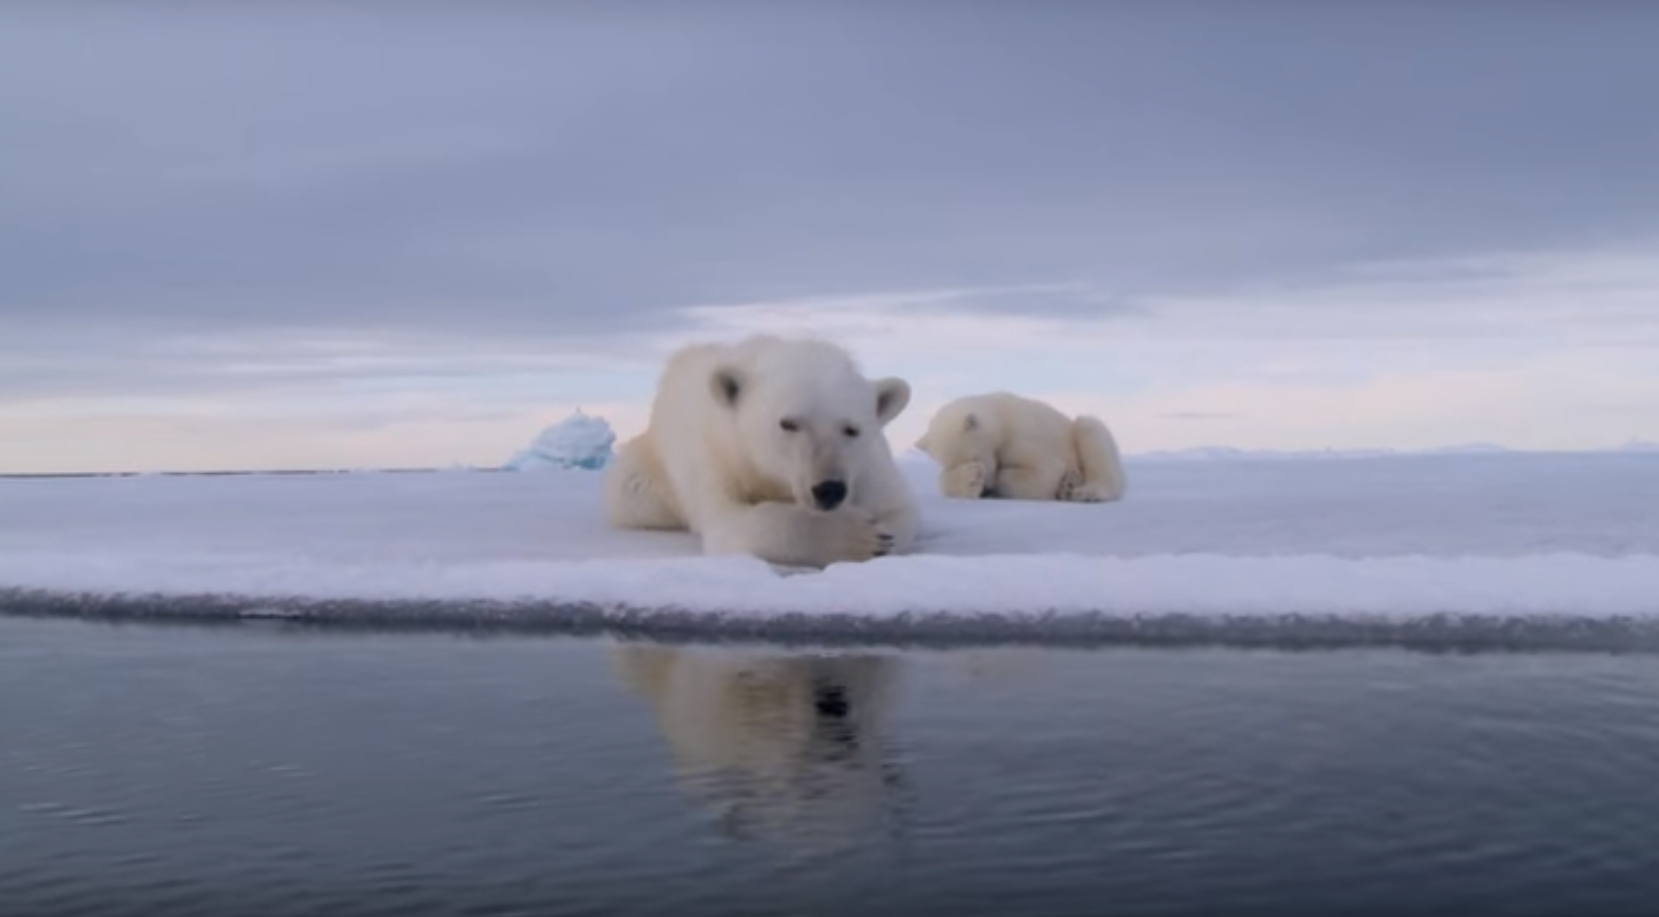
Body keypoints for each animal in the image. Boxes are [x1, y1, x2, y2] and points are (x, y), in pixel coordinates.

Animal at [602, 334, 919, 568]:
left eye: (852, 429)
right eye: (788, 423)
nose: (829, 489)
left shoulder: (870, 467)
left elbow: (900, 511)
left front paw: (882, 534)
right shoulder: (720, 459)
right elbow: (733, 525)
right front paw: (861, 537)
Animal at [914, 391, 1128, 503]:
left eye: (975, 457)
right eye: (952, 466)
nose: (986, 490)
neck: (1001, 418)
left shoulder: (1023, 435)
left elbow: (1043, 472)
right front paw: (969, 480)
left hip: (1077, 432)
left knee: (1089, 429)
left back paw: (1082, 491)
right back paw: (1069, 483)